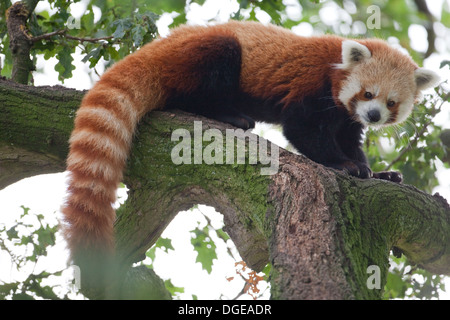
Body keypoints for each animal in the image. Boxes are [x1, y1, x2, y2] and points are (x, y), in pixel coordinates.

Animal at [59, 20, 440, 288]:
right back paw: (229, 115)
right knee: (211, 68)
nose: (373, 115)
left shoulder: (346, 117)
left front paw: (377, 172)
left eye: (391, 103)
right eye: (367, 93)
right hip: (201, 56)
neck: (336, 66)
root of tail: (156, 47)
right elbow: (303, 130)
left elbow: (350, 139)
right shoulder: (311, 85)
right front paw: (343, 165)